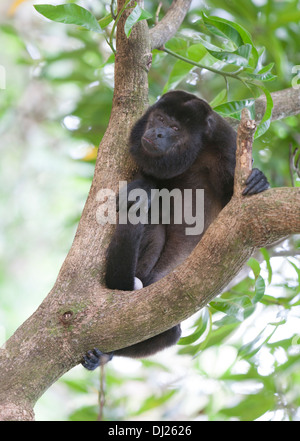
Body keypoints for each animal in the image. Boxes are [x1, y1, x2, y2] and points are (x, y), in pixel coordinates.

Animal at [82, 89, 270, 368]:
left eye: (174, 128)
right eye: (159, 119)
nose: (158, 133)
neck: (194, 152)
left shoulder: (227, 142)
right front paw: (142, 187)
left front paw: (259, 180)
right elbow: (149, 186)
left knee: (171, 334)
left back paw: (105, 354)